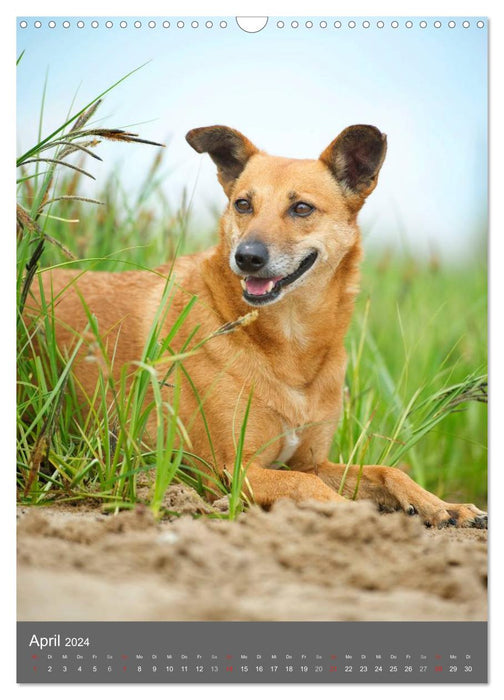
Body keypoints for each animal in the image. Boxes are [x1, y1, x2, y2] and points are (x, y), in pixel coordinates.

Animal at [28, 126, 488, 528]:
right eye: (243, 204)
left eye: (301, 208)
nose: (247, 257)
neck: (290, 346)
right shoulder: (230, 470)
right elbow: (306, 486)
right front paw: (356, 516)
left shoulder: (313, 460)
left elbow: (385, 470)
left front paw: (440, 505)